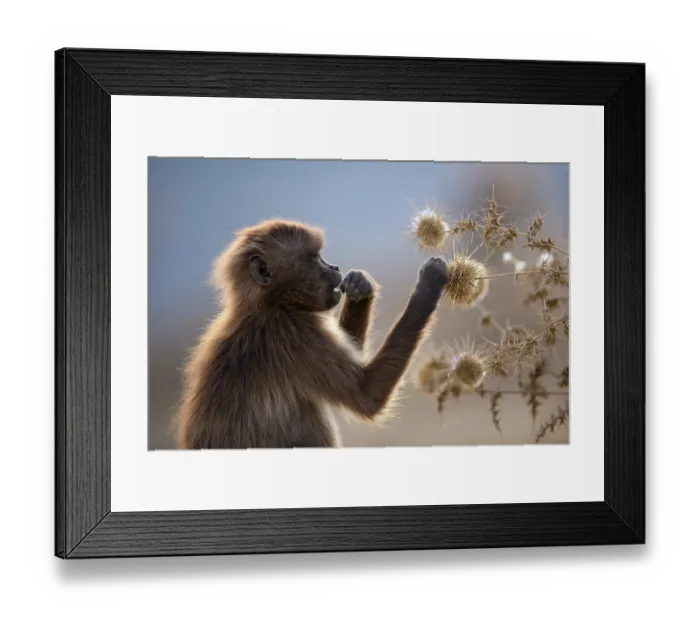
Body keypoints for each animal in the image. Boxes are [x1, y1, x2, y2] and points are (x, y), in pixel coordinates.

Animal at [175, 218, 449, 450]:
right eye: (315, 258)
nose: (335, 267)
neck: (269, 304)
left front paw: (360, 286)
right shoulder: (295, 332)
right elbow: (368, 393)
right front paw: (429, 283)